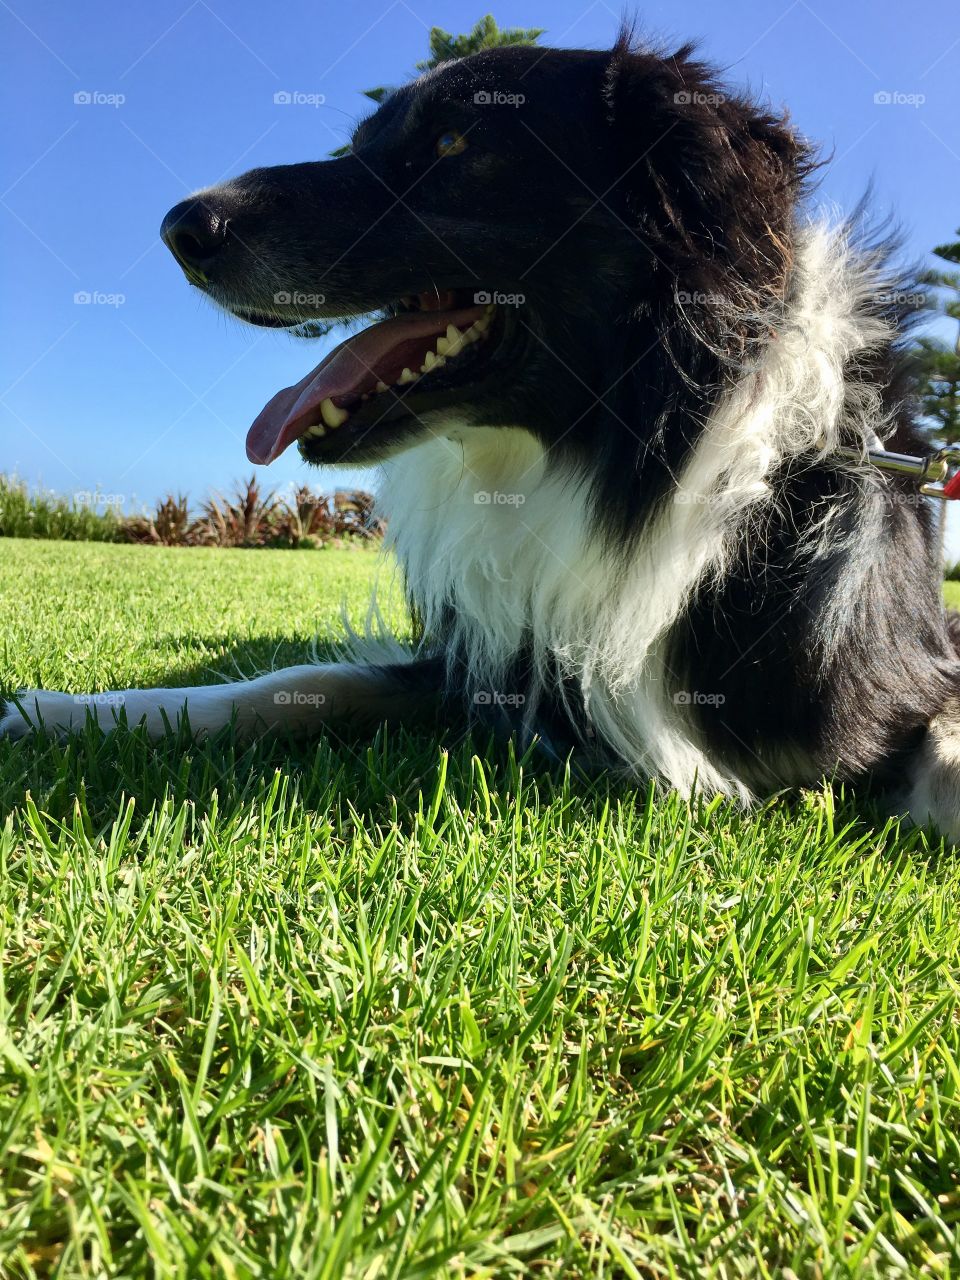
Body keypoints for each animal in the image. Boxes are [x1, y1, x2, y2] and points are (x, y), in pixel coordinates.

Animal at [7, 32, 960, 839]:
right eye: (360, 142)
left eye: (455, 144)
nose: (180, 227)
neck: (633, 450)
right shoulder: (500, 665)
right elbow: (294, 681)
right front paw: (70, 710)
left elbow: (942, 743)